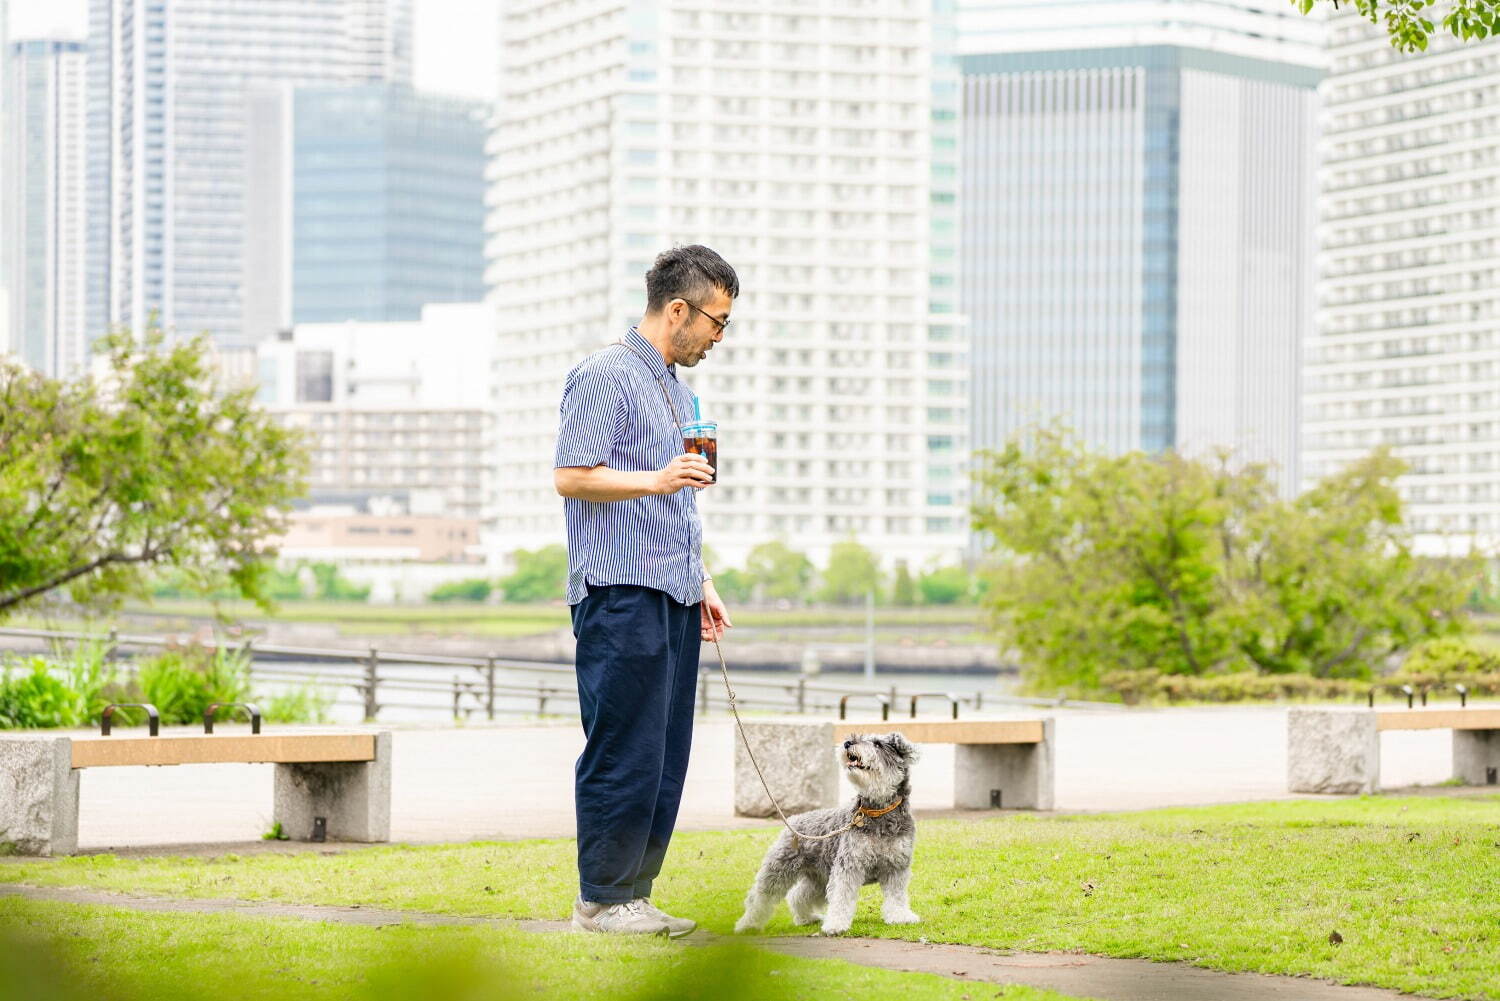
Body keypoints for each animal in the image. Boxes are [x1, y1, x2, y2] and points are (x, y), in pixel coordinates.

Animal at [735, 732, 918, 936]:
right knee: (760, 897)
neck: (878, 812)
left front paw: (900, 916)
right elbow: (841, 897)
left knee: (798, 895)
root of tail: (794, 819)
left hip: (818, 879)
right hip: (778, 870)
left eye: (878, 744)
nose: (848, 742)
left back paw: (806, 918)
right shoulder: (849, 866)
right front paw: (836, 925)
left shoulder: (896, 866)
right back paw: (747, 924)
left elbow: (896, 895)